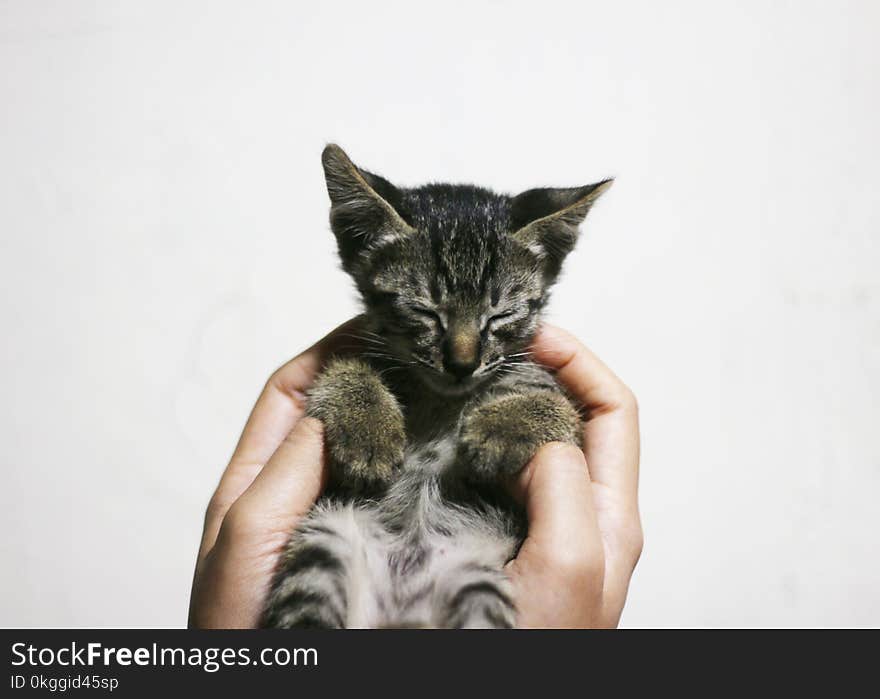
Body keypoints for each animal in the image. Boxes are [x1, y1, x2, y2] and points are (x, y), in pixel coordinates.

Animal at [262, 144, 612, 628]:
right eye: (425, 311)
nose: (462, 364)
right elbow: (341, 368)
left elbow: (559, 407)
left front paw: (497, 430)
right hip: (324, 543)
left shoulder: (554, 400)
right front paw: (368, 432)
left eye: (500, 315)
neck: (439, 400)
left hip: (476, 581)